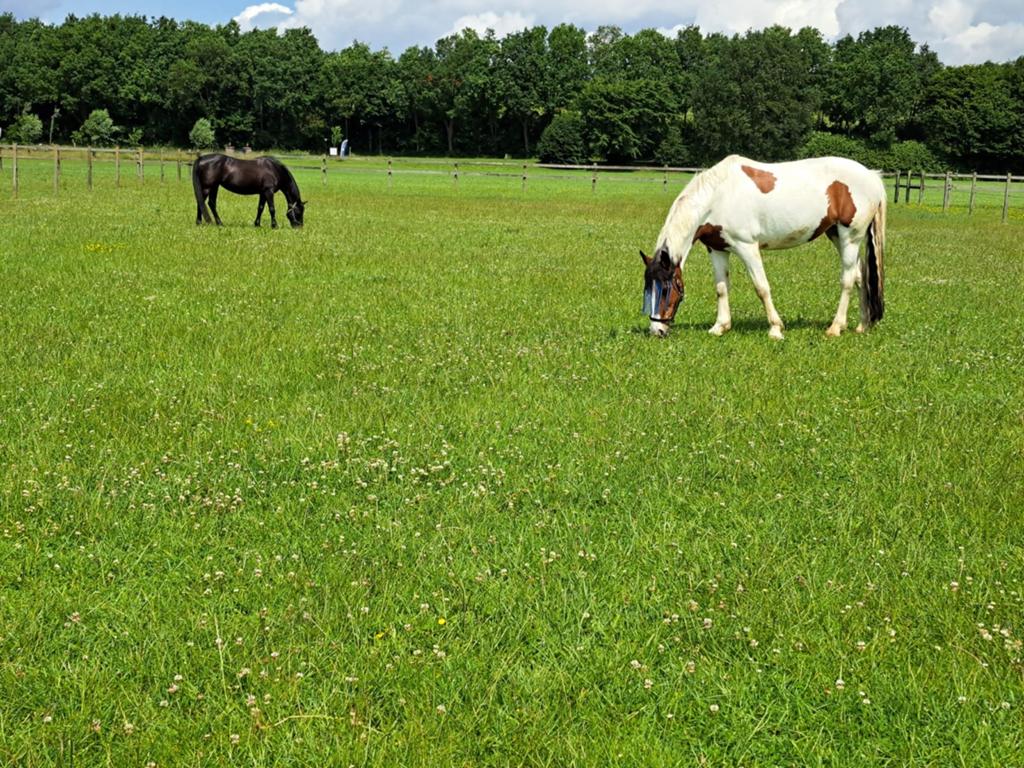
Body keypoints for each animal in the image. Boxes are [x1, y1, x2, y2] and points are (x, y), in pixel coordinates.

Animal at [641, 154, 886, 339]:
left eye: (667, 289)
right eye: (647, 288)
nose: (657, 330)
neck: (718, 196)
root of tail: (872, 176)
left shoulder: (747, 247)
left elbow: (762, 288)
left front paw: (776, 329)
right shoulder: (717, 249)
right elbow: (721, 288)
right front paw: (720, 327)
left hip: (850, 238)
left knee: (847, 280)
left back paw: (835, 328)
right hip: (836, 235)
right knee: (859, 276)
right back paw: (862, 325)